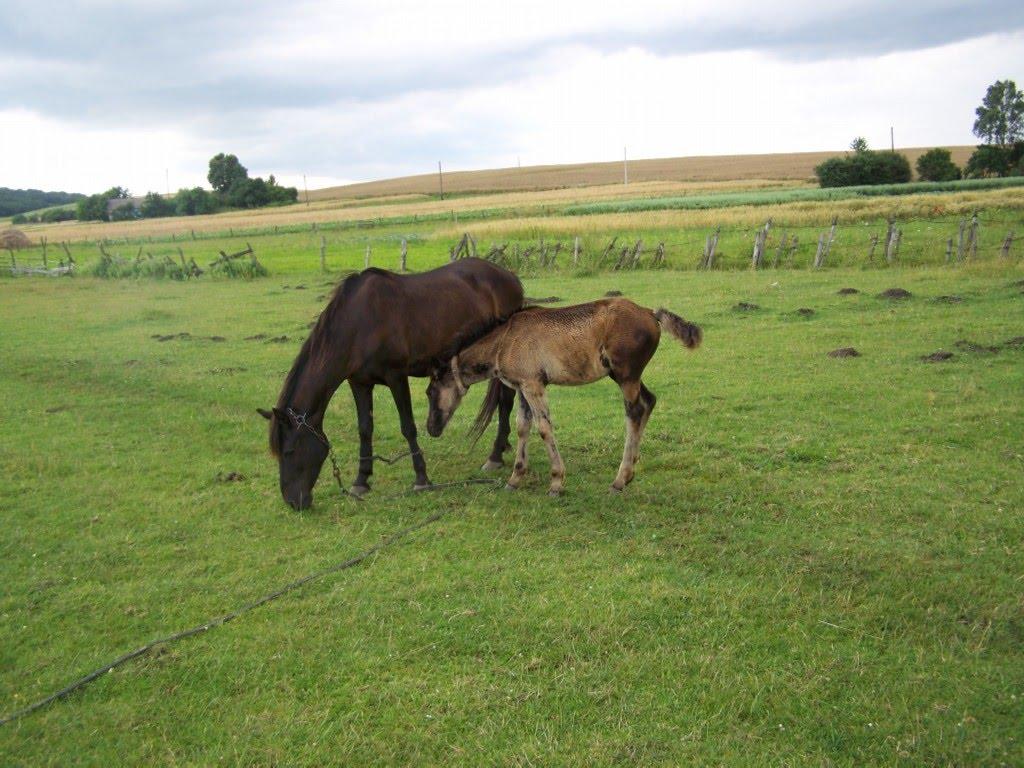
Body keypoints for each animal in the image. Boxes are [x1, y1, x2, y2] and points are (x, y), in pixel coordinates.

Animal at [260, 260, 524, 512]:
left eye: (289, 452)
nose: (294, 502)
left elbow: (408, 427)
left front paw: (421, 478)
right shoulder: (359, 383)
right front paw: (361, 481)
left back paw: (495, 455)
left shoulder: (397, 377)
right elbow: (365, 429)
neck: (358, 323)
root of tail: (510, 277)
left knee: (506, 402)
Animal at [425, 296, 704, 495]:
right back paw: (631, 469)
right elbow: (523, 427)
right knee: (649, 402)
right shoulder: (523, 387)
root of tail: (649, 312)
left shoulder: (534, 386)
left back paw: (620, 479)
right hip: (623, 375)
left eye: (430, 391)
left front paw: (557, 482)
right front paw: (515, 479)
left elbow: (544, 428)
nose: (431, 428)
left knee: (634, 412)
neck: (505, 340)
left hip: (626, 376)